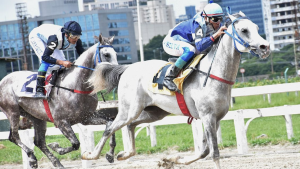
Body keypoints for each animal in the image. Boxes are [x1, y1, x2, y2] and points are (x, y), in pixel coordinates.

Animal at [0, 34, 118, 169]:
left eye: (115, 53)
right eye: (107, 54)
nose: (117, 75)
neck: (76, 85)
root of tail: (3, 80)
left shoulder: (86, 118)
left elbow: (110, 125)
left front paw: (110, 154)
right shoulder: (61, 122)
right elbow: (75, 144)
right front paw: (57, 147)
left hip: (36, 117)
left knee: (39, 142)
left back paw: (56, 163)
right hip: (12, 111)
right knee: (14, 136)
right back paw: (32, 158)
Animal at [85, 11, 272, 168]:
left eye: (256, 28)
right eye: (244, 30)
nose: (265, 47)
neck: (214, 75)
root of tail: (127, 68)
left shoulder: (214, 118)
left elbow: (203, 151)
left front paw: (173, 159)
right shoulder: (208, 116)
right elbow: (214, 153)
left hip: (155, 112)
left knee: (130, 125)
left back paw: (123, 154)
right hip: (129, 109)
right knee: (111, 127)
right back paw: (91, 155)